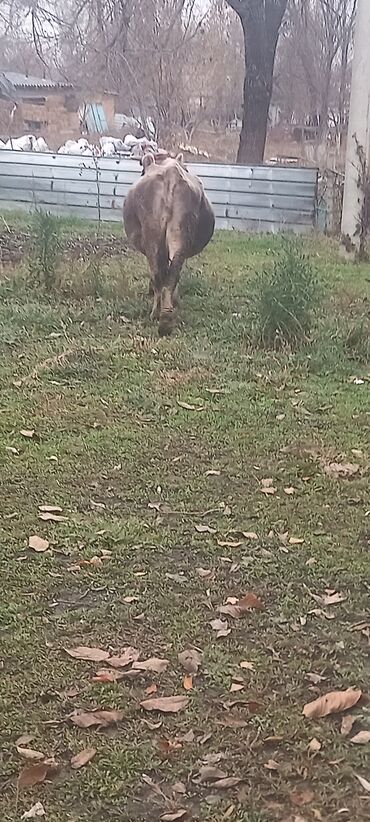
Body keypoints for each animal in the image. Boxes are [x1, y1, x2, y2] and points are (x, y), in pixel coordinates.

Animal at [123, 153, 214, 336]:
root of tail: (172, 173)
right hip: (181, 230)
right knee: (172, 272)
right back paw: (166, 318)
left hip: (152, 232)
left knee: (159, 274)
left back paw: (157, 314)